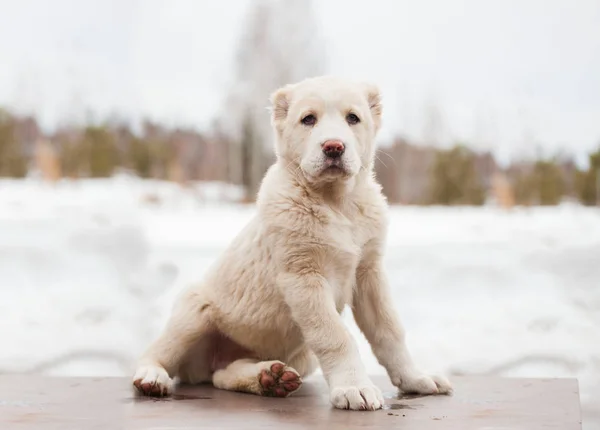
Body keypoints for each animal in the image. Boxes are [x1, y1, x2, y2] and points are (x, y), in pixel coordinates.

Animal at [131, 75, 450, 412]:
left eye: (353, 118)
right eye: (308, 119)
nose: (334, 147)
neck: (337, 203)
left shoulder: (369, 273)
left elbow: (390, 331)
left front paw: (415, 378)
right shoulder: (303, 275)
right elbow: (336, 335)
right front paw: (354, 386)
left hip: (298, 356)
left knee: (222, 374)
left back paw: (268, 379)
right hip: (193, 311)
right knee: (156, 353)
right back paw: (152, 377)